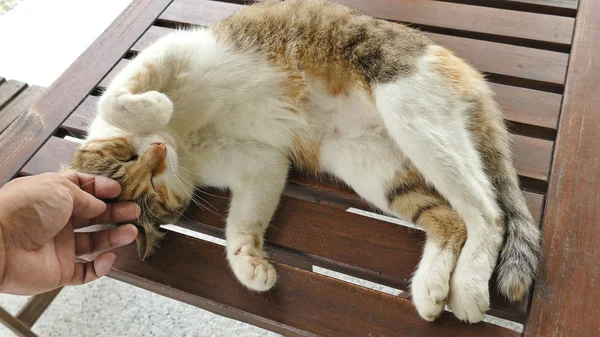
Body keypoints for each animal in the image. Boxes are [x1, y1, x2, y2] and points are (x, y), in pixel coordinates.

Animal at [70, 0, 540, 322]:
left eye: (131, 160)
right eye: (149, 189)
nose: (160, 152)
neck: (184, 136)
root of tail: (474, 80)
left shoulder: (171, 51)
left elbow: (116, 98)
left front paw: (154, 106)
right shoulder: (262, 162)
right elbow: (242, 223)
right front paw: (249, 265)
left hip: (410, 110)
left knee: (488, 213)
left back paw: (469, 286)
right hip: (367, 163)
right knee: (450, 218)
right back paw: (431, 288)